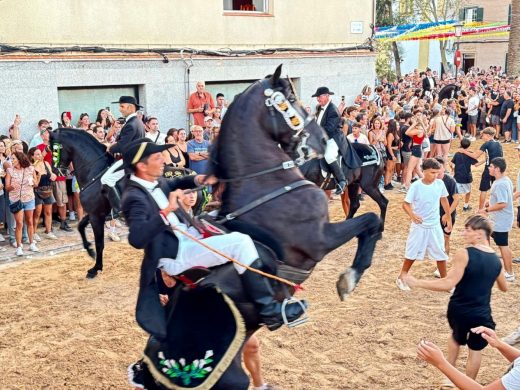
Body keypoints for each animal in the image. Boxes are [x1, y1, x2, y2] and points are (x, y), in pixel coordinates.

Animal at [49, 129, 114, 278]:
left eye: (54, 150)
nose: (54, 172)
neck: (96, 172)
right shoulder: (93, 213)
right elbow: (80, 226)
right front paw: (89, 250)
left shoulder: (96, 216)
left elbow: (99, 243)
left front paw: (95, 268)